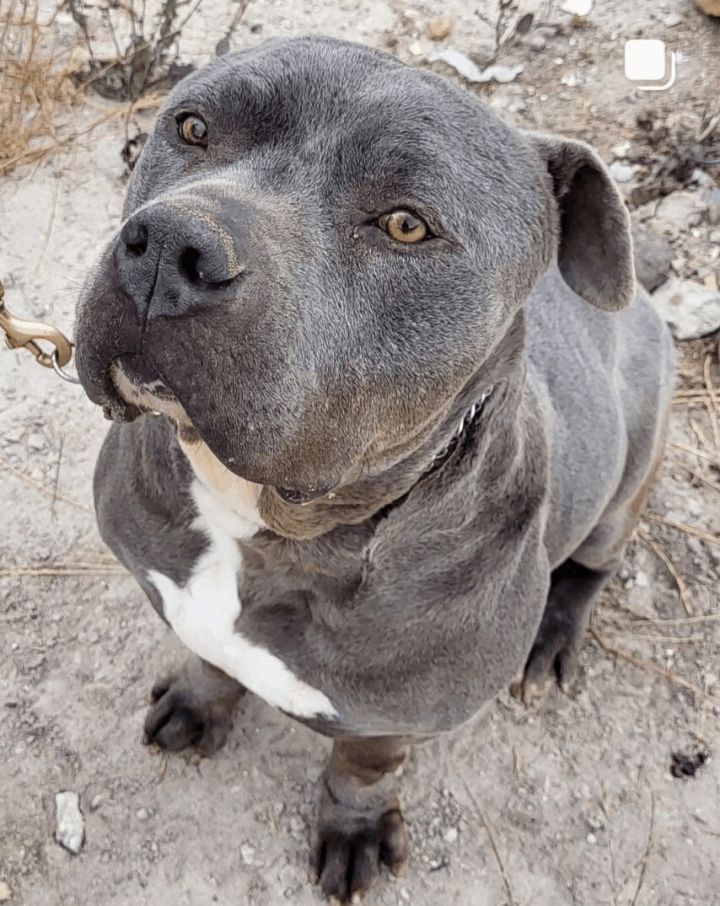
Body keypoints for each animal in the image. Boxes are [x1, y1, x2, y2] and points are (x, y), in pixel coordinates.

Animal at [74, 37, 676, 904]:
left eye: (404, 223)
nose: (169, 248)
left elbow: (361, 766)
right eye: (192, 126)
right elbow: (208, 657)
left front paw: (353, 828)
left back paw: (553, 640)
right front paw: (198, 701)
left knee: (594, 564)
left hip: (626, 478)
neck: (260, 523)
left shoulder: (398, 716)